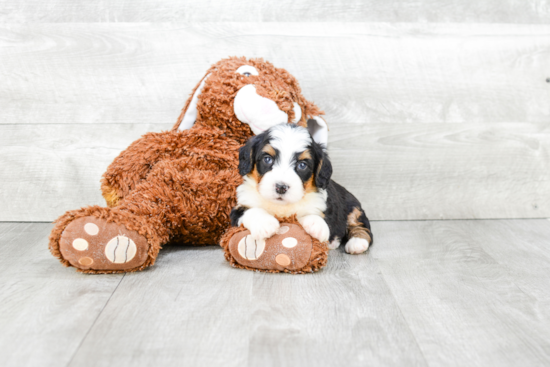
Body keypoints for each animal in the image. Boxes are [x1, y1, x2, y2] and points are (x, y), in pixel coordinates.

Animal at [229, 122, 376, 254]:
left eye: (302, 165)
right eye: (267, 159)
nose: (281, 187)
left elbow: (315, 214)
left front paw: (317, 225)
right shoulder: (239, 207)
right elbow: (250, 210)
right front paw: (265, 223)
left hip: (353, 206)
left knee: (361, 226)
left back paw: (357, 242)